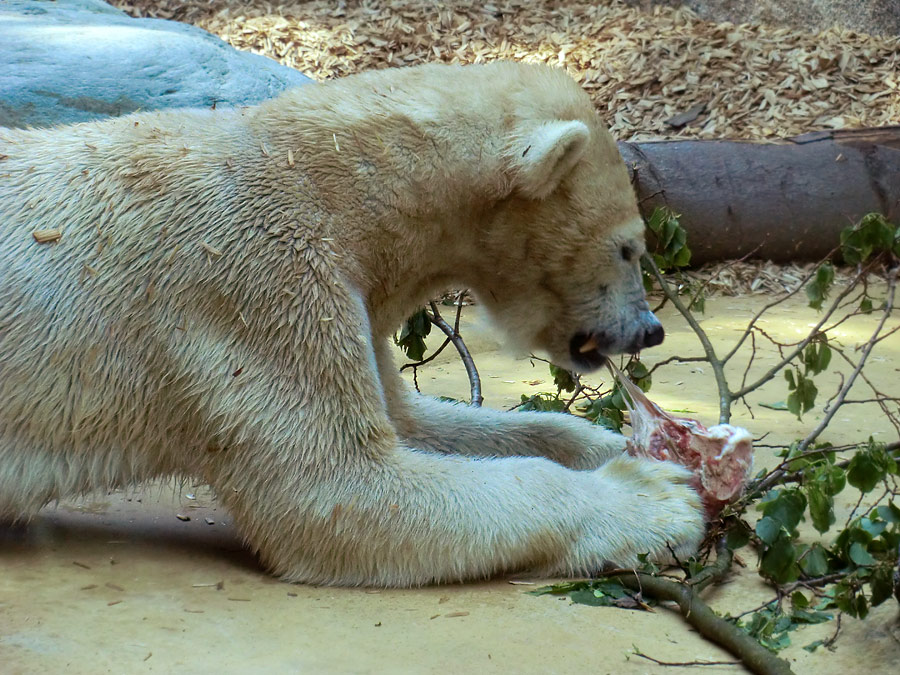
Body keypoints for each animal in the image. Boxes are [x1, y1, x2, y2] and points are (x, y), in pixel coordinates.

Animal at [0, 60, 704, 588]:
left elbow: (415, 422)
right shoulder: (251, 282)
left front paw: (616, 446)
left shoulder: (350, 297)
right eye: (629, 248)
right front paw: (661, 499)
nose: (650, 330)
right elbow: (344, 491)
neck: (325, 175)